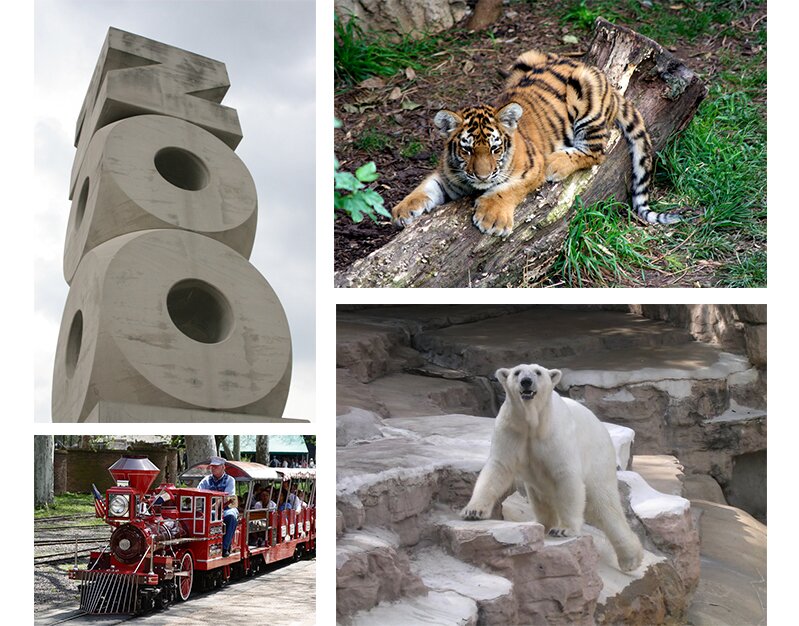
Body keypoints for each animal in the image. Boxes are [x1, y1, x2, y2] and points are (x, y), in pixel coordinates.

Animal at [462, 360, 644, 572]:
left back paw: (631, 559)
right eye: (517, 372)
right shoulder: (511, 430)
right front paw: (473, 511)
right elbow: (498, 468)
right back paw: (542, 523)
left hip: (598, 459)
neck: (533, 423)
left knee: (604, 505)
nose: (526, 381)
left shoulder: (555, 436)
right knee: (541, 497)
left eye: (538, 372)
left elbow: (566, 476)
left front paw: (564, 529)